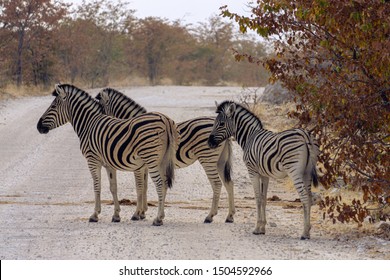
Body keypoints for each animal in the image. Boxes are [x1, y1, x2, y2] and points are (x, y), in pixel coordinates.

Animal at [35, 84, 179, 226]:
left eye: (53, 106)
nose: (38, 126)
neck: (89, 124)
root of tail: (165, 119)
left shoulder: (92, 160)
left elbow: (97, 186)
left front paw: (95, 215)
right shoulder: (110, 164)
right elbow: (113, 187)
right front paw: (116, 215)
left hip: (151, 159)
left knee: (160, 184)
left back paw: (158, 219)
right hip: (162, 160)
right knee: (165, 184)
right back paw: (160, 216)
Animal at [96, 87, 236, 223]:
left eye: (101, 108)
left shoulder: (141, 165)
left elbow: (140, 187)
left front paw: (137, 213)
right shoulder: (146, 165)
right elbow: (145, 186)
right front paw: (143, 212)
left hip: (208, 158)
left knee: (217, 183)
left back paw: (210, 216)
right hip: (220, 160)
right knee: (229, 183)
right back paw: (229, 216)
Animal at [209, 101, 318, 240]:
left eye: (221, 123)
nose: (209, 142)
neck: (249, 137)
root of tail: (304, 135)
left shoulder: (252, 171)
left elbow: (258, 198)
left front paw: (257, 228)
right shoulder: (265, 175)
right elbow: (264, 198)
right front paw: (262, 227)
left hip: (294, 171)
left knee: (304, 196)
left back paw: (304, 233)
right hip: (307, 172)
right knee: (309, 197)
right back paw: (308, 230)